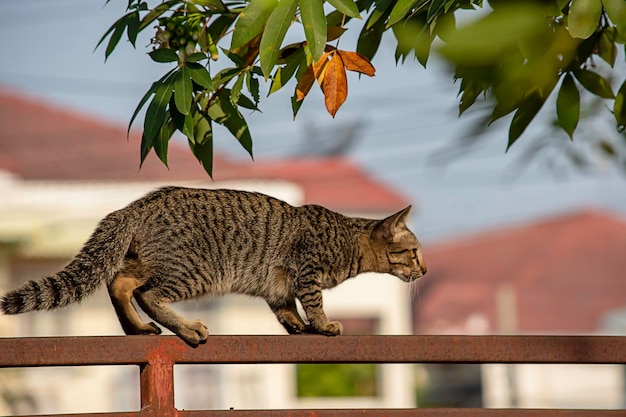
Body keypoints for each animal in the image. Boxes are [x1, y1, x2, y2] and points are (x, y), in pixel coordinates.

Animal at [0, 187, 424, 346]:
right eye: (416, 252)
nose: (423, 271)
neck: (351, 242)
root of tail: (133, 206)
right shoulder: (307, 270)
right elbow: (314, 302)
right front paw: (322, 325)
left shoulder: (278, 287)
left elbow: (286, 309)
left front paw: (300, 327)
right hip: (193, 272)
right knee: (147, 293)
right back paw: (188, 328)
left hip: (149, 262)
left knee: (119, 283)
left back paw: (138, 329)